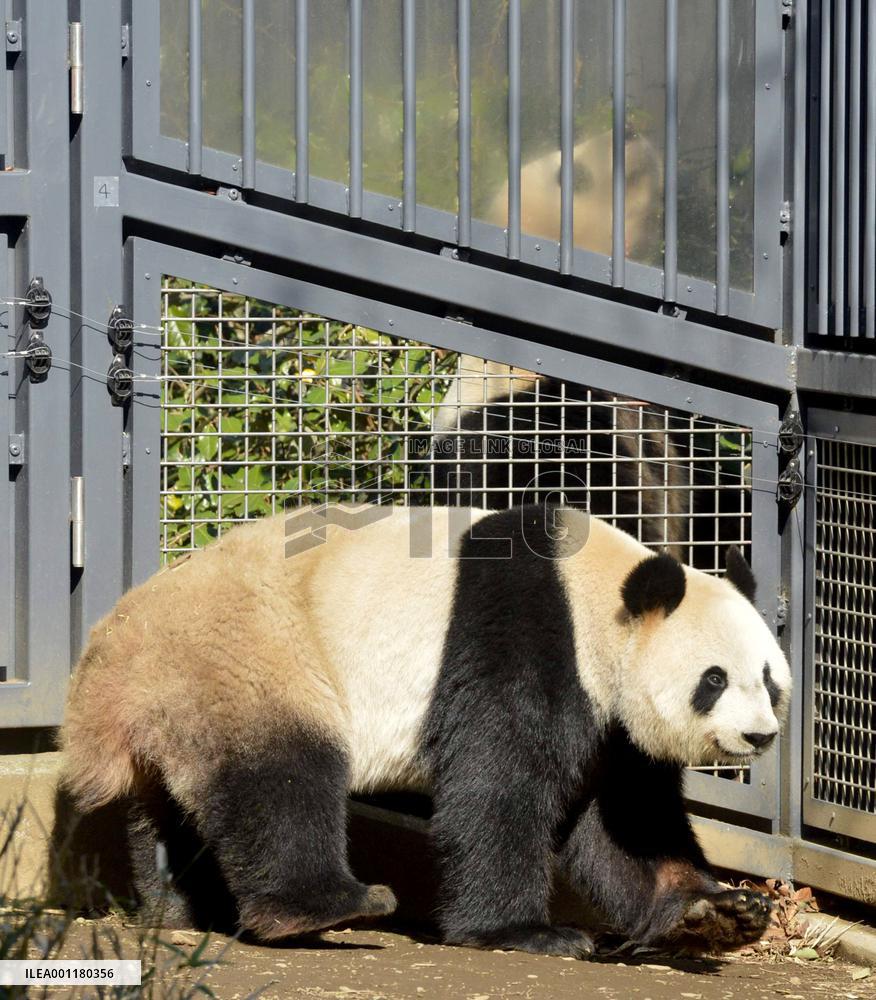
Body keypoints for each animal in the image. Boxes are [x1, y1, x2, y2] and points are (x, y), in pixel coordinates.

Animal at [58, 504, 790, 956]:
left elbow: (626, 819)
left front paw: (716, 909)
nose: (760, 737)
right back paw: (326, 906)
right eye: (715, 679)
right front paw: (526, 932)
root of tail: (102, 671)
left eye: (770, 679)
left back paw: (182, 912)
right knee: (283, 775)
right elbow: (497, 780)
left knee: (171, 810)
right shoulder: (526, 634)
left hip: (177, 703)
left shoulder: (613, 723)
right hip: (245, 654)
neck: (599, 595)